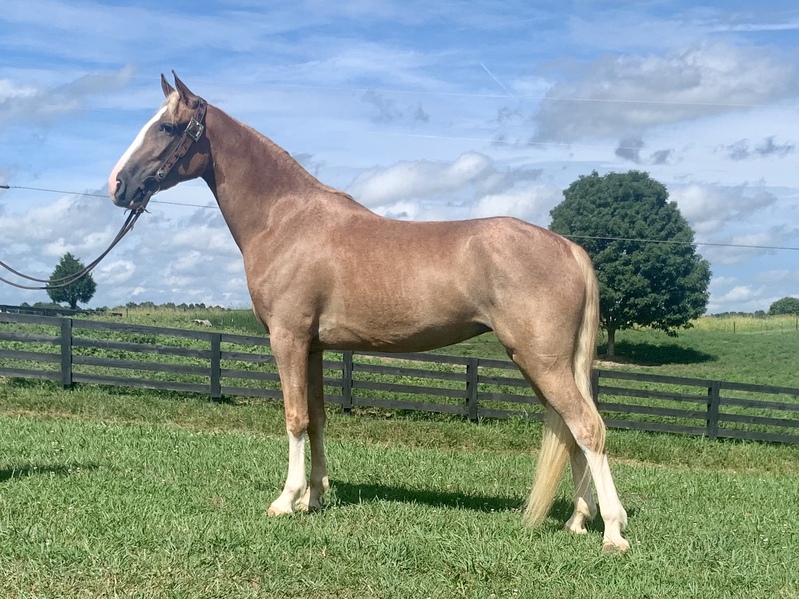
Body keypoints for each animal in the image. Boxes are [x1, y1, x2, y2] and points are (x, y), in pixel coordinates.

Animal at [108, 73, 629, 552]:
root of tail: (568, 247)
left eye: (168, 127)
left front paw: (286, 500)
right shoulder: (313, 347)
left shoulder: (287, 338)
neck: (285, 219)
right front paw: (314, 498)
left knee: (588, 428)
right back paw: (578, 521)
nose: (118, 184)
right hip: (547, 365)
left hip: (541, 361)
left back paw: (612, 533)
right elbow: (317, 418)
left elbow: (295, 417)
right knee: (573, 433)